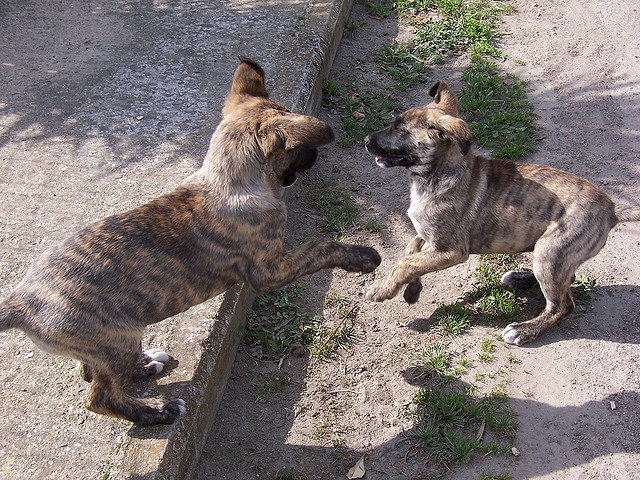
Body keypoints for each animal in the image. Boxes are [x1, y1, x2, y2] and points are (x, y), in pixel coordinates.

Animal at [0, 58, 380, 426]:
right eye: (299, 149)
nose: (314, 157)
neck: (230, 179)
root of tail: (21, 303)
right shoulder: (268, 271)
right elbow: (321, 246)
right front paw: (362, 256)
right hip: (113, 339)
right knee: (99, 397)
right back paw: (158, 411)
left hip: (111, 343)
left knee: (89, 372)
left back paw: (146, 363)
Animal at [364, 81, 640, 344]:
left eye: (398, 129)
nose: (366, 140)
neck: (438, 174)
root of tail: (611, 209)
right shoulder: (428, 234)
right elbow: (410, 252)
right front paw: (412, 290)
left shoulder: (452, 250)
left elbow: (406, 262)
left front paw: (382, 289)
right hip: (554, 254)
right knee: (568, 279)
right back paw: (519, 279)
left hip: (552, 250)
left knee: (562, 305)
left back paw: (523, 330)